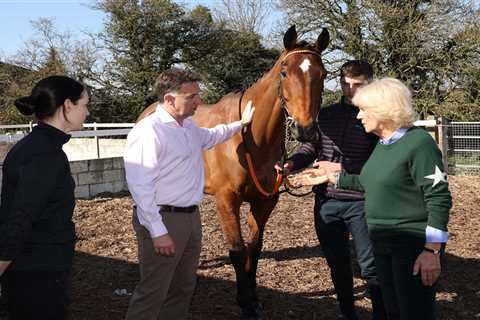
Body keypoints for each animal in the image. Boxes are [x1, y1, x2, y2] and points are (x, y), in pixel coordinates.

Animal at [137, 26, 328, 318]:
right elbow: (237, 251)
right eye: (284, 72)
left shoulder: (265, 201)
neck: (252, 138)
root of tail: (147, 112)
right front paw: (246, 304)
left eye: (323, 73)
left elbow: (254, 248)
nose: (305, 130)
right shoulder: (227, 200)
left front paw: (253, 299)